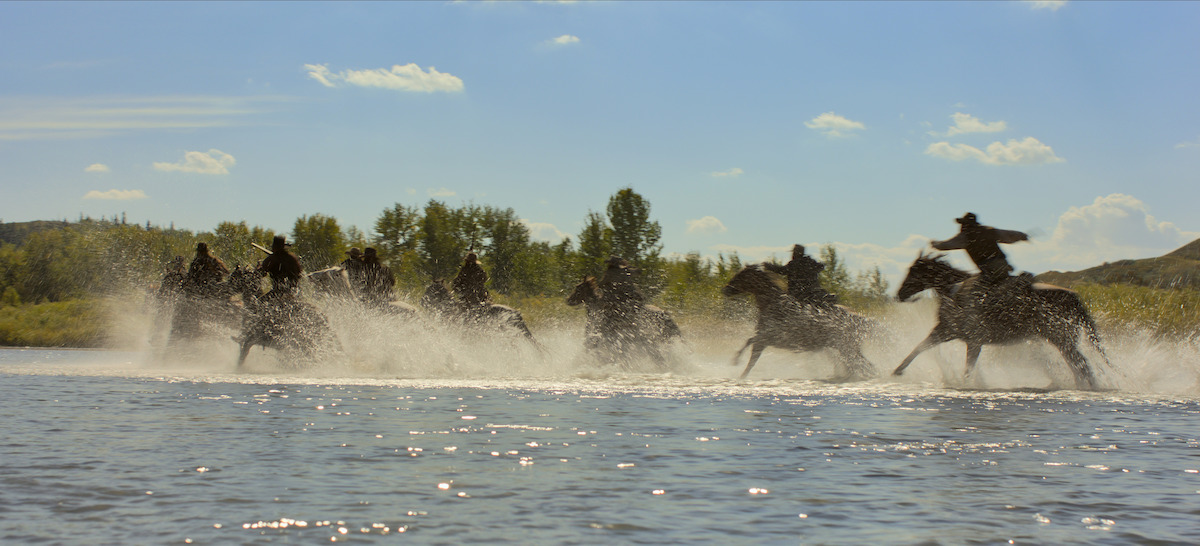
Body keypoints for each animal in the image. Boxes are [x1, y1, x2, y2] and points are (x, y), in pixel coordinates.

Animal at [722, 264, 877, 380]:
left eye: (740, 276)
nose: (725, 289)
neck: (773, 304)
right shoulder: (765, 340)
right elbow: (751, 352)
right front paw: (738, 368)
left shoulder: (769, 338)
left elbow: (750, 349)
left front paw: (735, 362)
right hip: (846, 349)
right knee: (860, 366)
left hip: (847, 349)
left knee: (864, 366)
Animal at [891, 252, 1106, 389]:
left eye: (914, 271)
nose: (899, 294)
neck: (955, 292)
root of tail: (1074, 298)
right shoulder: (946, 331)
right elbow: (919, 347)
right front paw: (896, 371)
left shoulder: (972, 341)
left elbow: (967, 368)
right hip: (1064, 342)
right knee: (1079, 365)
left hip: (1063, 340)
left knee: (1082, 365)